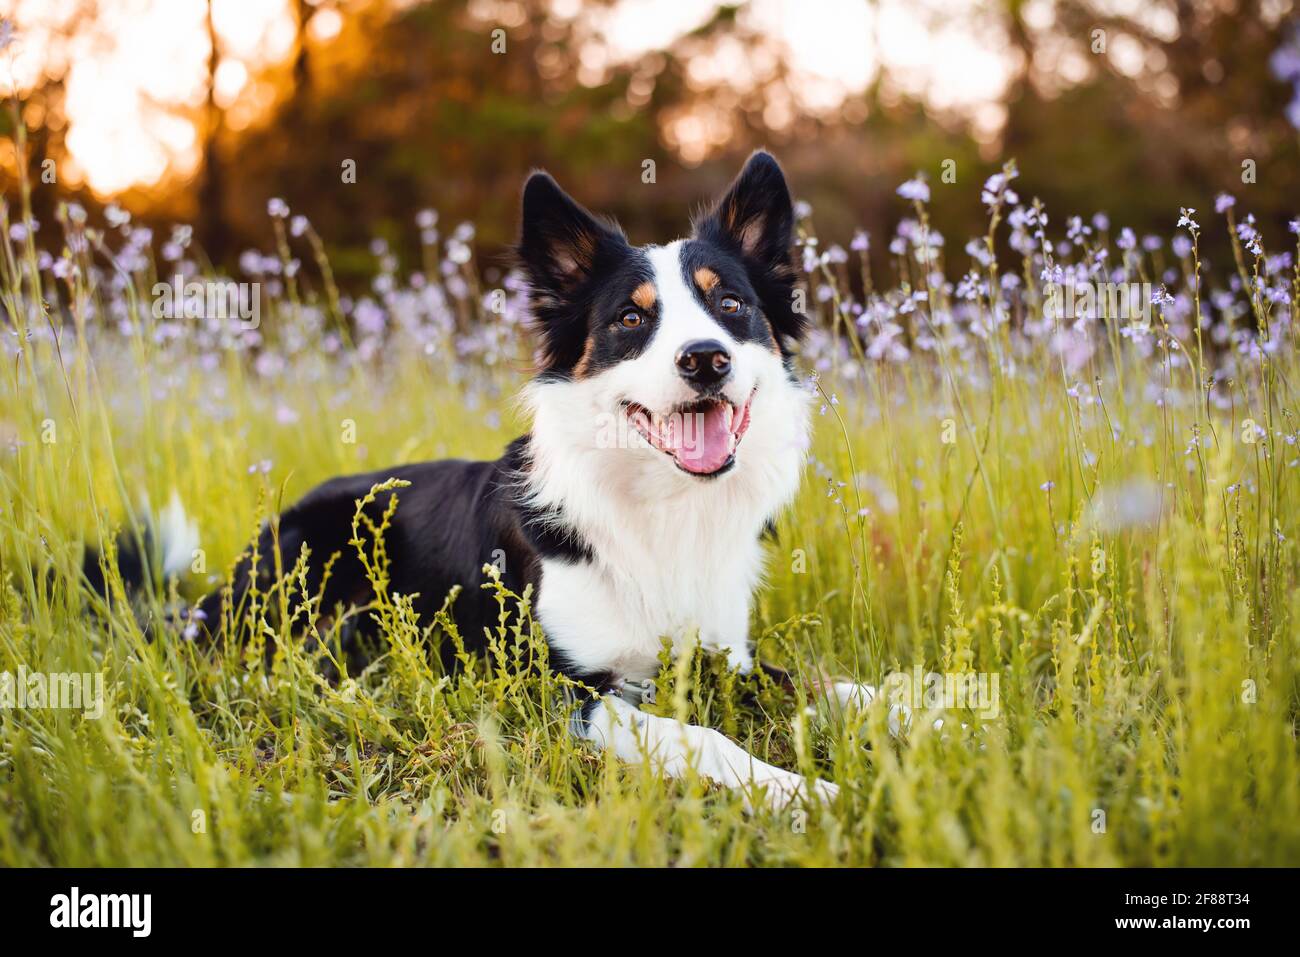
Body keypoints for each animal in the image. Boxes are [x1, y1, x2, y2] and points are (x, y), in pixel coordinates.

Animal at [96, 151, 878, 806]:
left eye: (731, 306)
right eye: (631, 318)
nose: (706, 358)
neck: (661, 506)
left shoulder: (726, 657)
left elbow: (827, 682)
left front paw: (903, 702)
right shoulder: (553, 687)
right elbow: (701, 734)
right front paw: (804, 791)